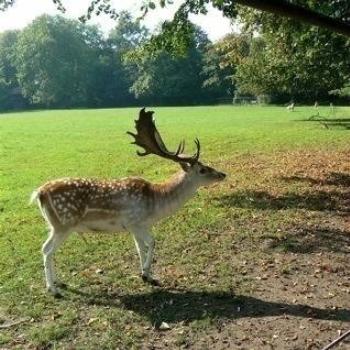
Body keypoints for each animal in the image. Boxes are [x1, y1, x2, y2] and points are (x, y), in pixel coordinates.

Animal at [31, 106, 226, 296]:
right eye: (202, 169)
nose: (223, 174)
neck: (156, 205)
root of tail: (40, 193)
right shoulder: (134, 222)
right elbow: (152, 243)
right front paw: (146, 273)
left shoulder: (136, 227)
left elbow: (140, 247)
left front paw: (147, 275)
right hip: (64, 224)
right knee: (47, 250)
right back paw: (53, 289)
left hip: (54, 225)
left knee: (46, 249)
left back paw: (58, 282)